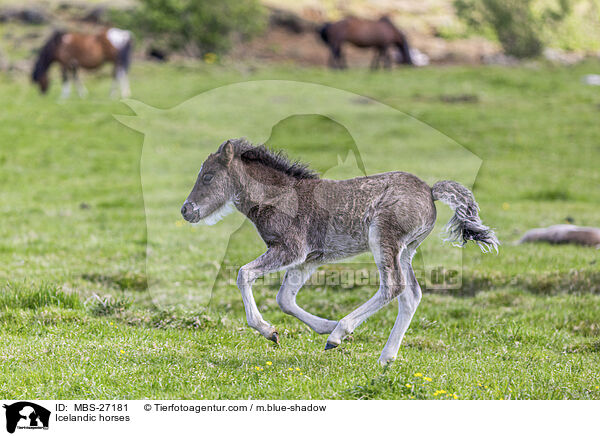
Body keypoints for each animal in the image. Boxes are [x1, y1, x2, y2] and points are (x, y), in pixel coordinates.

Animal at [180, 140, 500, 364]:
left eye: (208, 177)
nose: (186, 210)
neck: (279, 197)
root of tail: (431, 192)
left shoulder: (291, 250)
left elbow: (243, 274)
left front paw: (269, 330)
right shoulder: (309, 259)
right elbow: (284, 299)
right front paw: (318, 326)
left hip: (383, 238)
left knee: (393, 286)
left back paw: (340, 335)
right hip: (405, 250)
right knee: (411, 294)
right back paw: (384, 357)